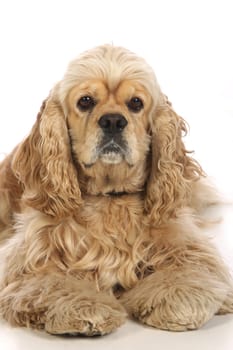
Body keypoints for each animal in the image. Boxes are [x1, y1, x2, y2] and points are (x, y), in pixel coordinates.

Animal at [0, 45, 232, 334]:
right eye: (85, 101)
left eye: (136, 103)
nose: (112, 121)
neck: (110, 198)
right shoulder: (29, 259)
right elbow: (53, 282)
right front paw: (86, 308)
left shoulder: (184, 242)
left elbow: (189, 272)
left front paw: (179, 300)